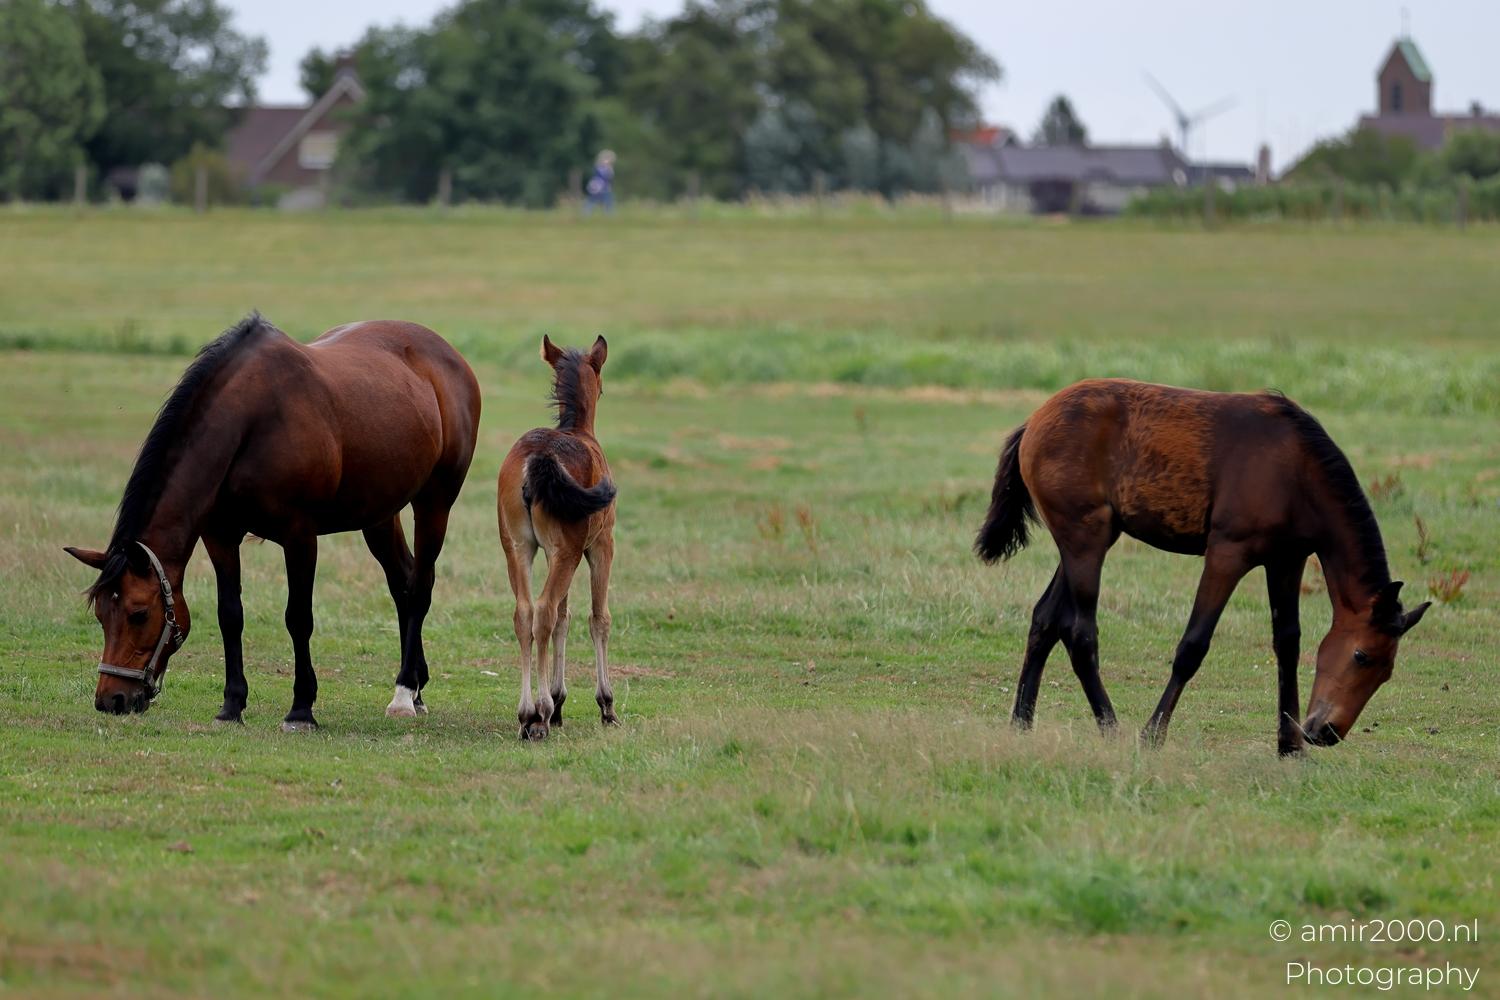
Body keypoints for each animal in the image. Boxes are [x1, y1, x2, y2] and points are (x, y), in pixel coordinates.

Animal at [65, 314, 481, 730]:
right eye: (101, 614)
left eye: (139, 614)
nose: (111, 700)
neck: (249, 422)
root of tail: (450, 357)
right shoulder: (219, 536)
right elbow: (230, 614)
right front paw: (232, 705)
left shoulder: (299, 537)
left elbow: (298, 618)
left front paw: (301, 708)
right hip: (378, 513)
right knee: (402, 583)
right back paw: (417, 688)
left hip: (434, 503)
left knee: (421, 586)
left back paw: (404, 692)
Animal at [497, 335, 617, 741]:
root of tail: (537, 457)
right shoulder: (600, 547)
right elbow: (597, 618)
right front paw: (606, 705)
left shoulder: (550, 553)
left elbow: (565, 617)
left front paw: (559, 698)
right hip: (569, 552)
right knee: (544, 612)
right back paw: (539, 714)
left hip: (518, 548)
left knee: (525, 614)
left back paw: (526, 713)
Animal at [975, 378, 1430, 756]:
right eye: (1361, 655)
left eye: (1387, 672)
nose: (1326, 733)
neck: (1296, 471)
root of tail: (1034, 422)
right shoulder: (1228, 553)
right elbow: (1193, 645)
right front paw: (1152, 734)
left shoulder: (1286, 560)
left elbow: (1287, 644)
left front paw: (1289, 746)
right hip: (1086, 538)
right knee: (1079, 630)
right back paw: (1111, 727)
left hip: (1089, 539)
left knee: (1045, 618)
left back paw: (1022, 722)